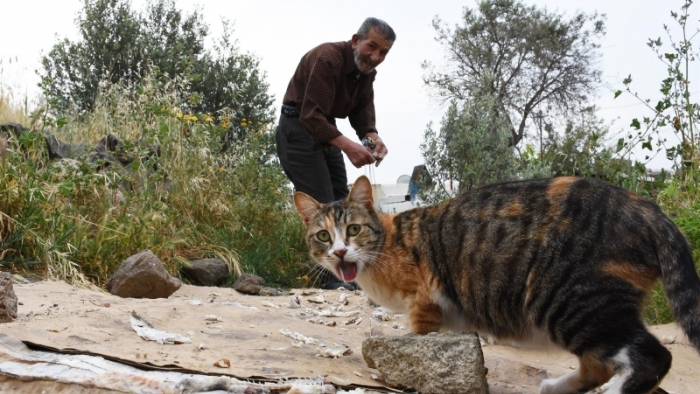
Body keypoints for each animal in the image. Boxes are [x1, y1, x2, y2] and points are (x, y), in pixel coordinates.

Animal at [294, 176, 700, 394]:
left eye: (353, 229)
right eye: (322, 236)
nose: (340, 252)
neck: (386, 243)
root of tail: (646, 208)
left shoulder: (424, 304)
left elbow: (419, 342)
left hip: (568, 300)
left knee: (652, 357)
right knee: (598, 363)